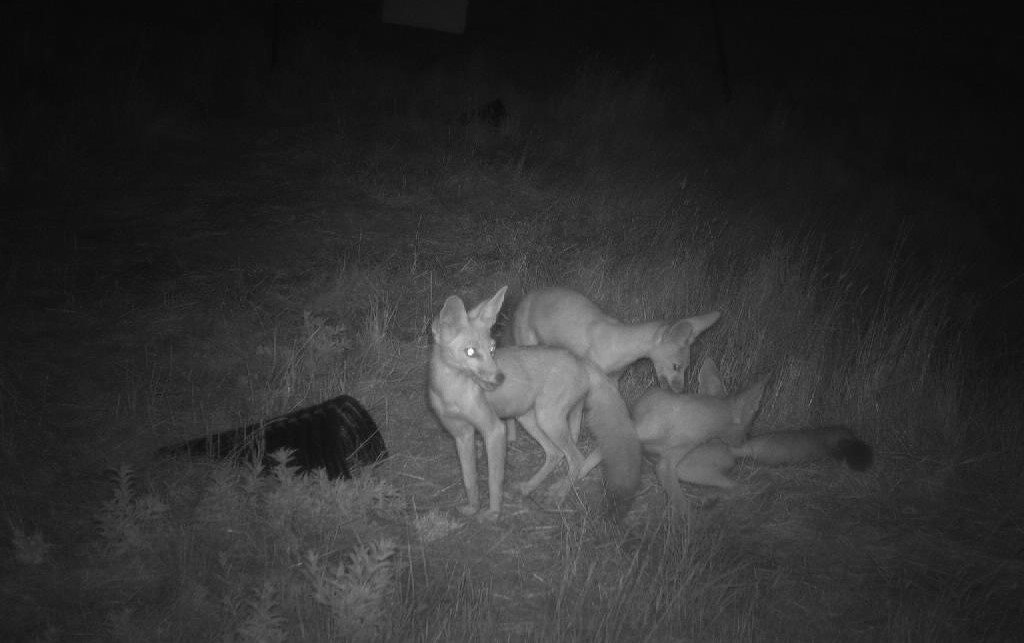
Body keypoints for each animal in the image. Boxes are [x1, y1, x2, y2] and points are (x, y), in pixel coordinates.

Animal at [428, 285, 641, 522]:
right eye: (471, 352)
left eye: (492, 350)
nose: (500, 378)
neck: (453, 394)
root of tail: (580, 360)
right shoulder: (462, 434)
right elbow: (469, 480)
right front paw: (472, 508)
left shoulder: (494, 430)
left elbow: (494, 480)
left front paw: (493, 513)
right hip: (530, 419)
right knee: (555, 454)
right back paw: (529, 487)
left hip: (548, 420)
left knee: (576, 458)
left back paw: (559, 493)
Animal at [506, 286, 720, 440]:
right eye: (676, 366)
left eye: (687, 368)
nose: (680, 390)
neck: (616, 347)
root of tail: (526, 297)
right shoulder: (588, 379)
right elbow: (576, 419)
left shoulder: (614, 380)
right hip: (529, 346)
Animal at [578, 358, 873, 513]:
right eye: (748, 425)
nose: (742, 440)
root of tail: (734, 451)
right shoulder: (645, 445)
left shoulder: (666, 459)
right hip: (688, 469)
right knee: (737, 488)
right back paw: (710, 500)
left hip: (688, 469)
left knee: (740, 488)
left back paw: (712, 500)